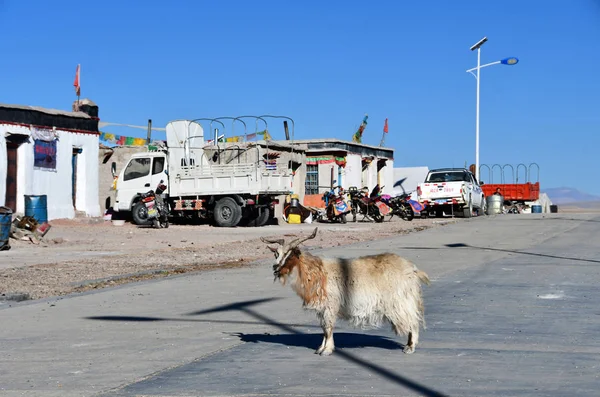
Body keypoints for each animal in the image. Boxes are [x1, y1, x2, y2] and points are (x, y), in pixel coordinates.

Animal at [260, 226, 428, 356]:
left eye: (289, 255)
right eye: (276, 254)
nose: (275, 268)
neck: (317, 271)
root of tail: (412, 270)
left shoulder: (330, 305)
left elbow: (328, 327)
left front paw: (327, 350)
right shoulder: (323, 309)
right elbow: (323, 328)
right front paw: (320, 348)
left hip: (401, 301)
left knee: (413, 321)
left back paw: (410, 347)